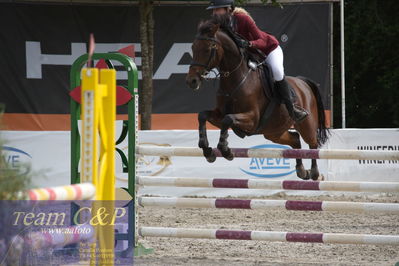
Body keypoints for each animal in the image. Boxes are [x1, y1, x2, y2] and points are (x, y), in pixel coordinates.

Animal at [186, 15, 330, 180]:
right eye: (193, 48)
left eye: (208, 49)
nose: (192, 81)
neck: (235, 79)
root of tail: (303, 82)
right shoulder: (219, 114)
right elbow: (203, 115)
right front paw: (207, 149)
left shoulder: (252, 119)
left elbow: (227, 119)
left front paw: (225, 150)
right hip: (273, 131)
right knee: (295, 140)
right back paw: (301, 170)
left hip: (306, 124)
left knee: (312, 144)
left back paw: (315, 173)